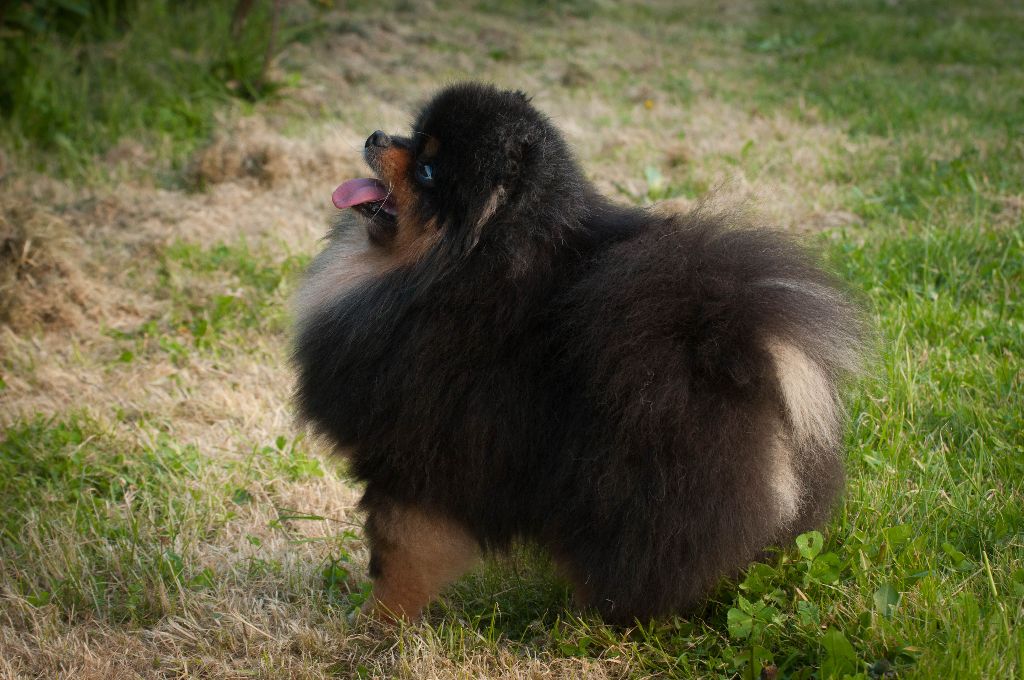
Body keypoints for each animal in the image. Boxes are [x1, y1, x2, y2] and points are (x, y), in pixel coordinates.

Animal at [294, 83, 864, 622]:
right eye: (414, 135)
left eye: (428, 169)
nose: (374, 137)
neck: (454, 265)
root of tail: (730, 346)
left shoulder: (416, 451)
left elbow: (398, 553)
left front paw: (375, 621)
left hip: (638, 479)